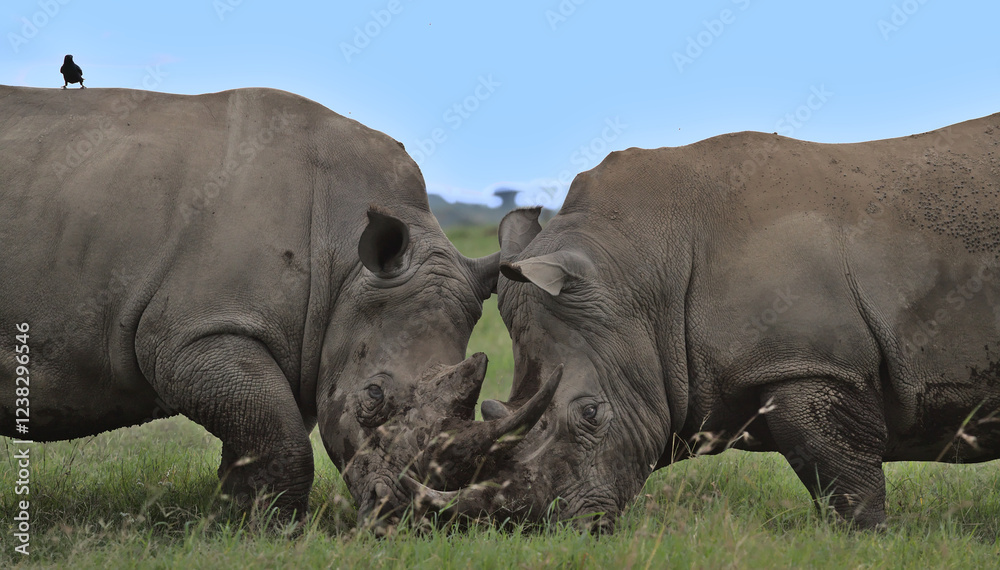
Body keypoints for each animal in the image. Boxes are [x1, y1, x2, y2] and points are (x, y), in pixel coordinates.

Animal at [0, 85, 550, 525]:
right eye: (373, 397)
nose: (403, 517)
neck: (345, 261)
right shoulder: (196, 334)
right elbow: (281, 438)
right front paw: (276, 530)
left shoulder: (299, 343)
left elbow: (261, 433)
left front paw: (233, 518)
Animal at [408, 112, 1000, 532]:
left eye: (591, 415)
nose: (544, 529)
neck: (641, 276)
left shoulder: (811, 365)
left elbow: (845, 482)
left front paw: (868, 544)